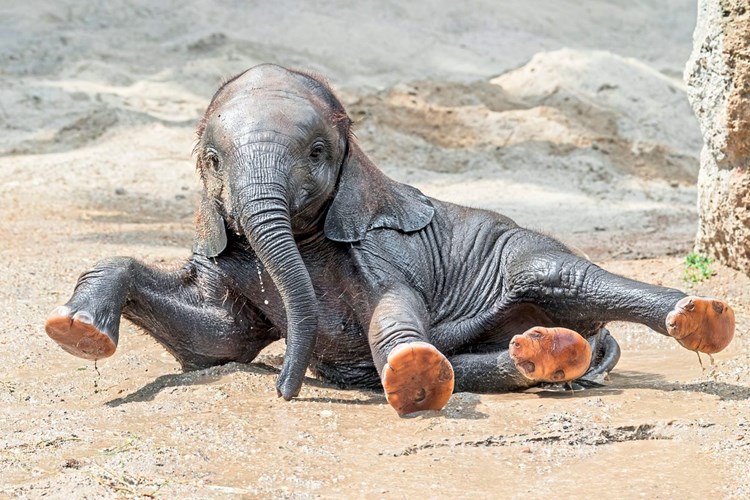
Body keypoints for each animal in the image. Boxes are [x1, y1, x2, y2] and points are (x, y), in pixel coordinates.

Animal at [45, 64, 736, 416]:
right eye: (212, 161)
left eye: (317, 153)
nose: (285, 391)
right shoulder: (225, 253)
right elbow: (217, 340)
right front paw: (74, 331)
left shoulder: (377, 245)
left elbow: (392, 305)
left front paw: (409, 365)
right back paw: (546, 353)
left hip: (524, 252)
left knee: (569, 277)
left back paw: (699, 316)